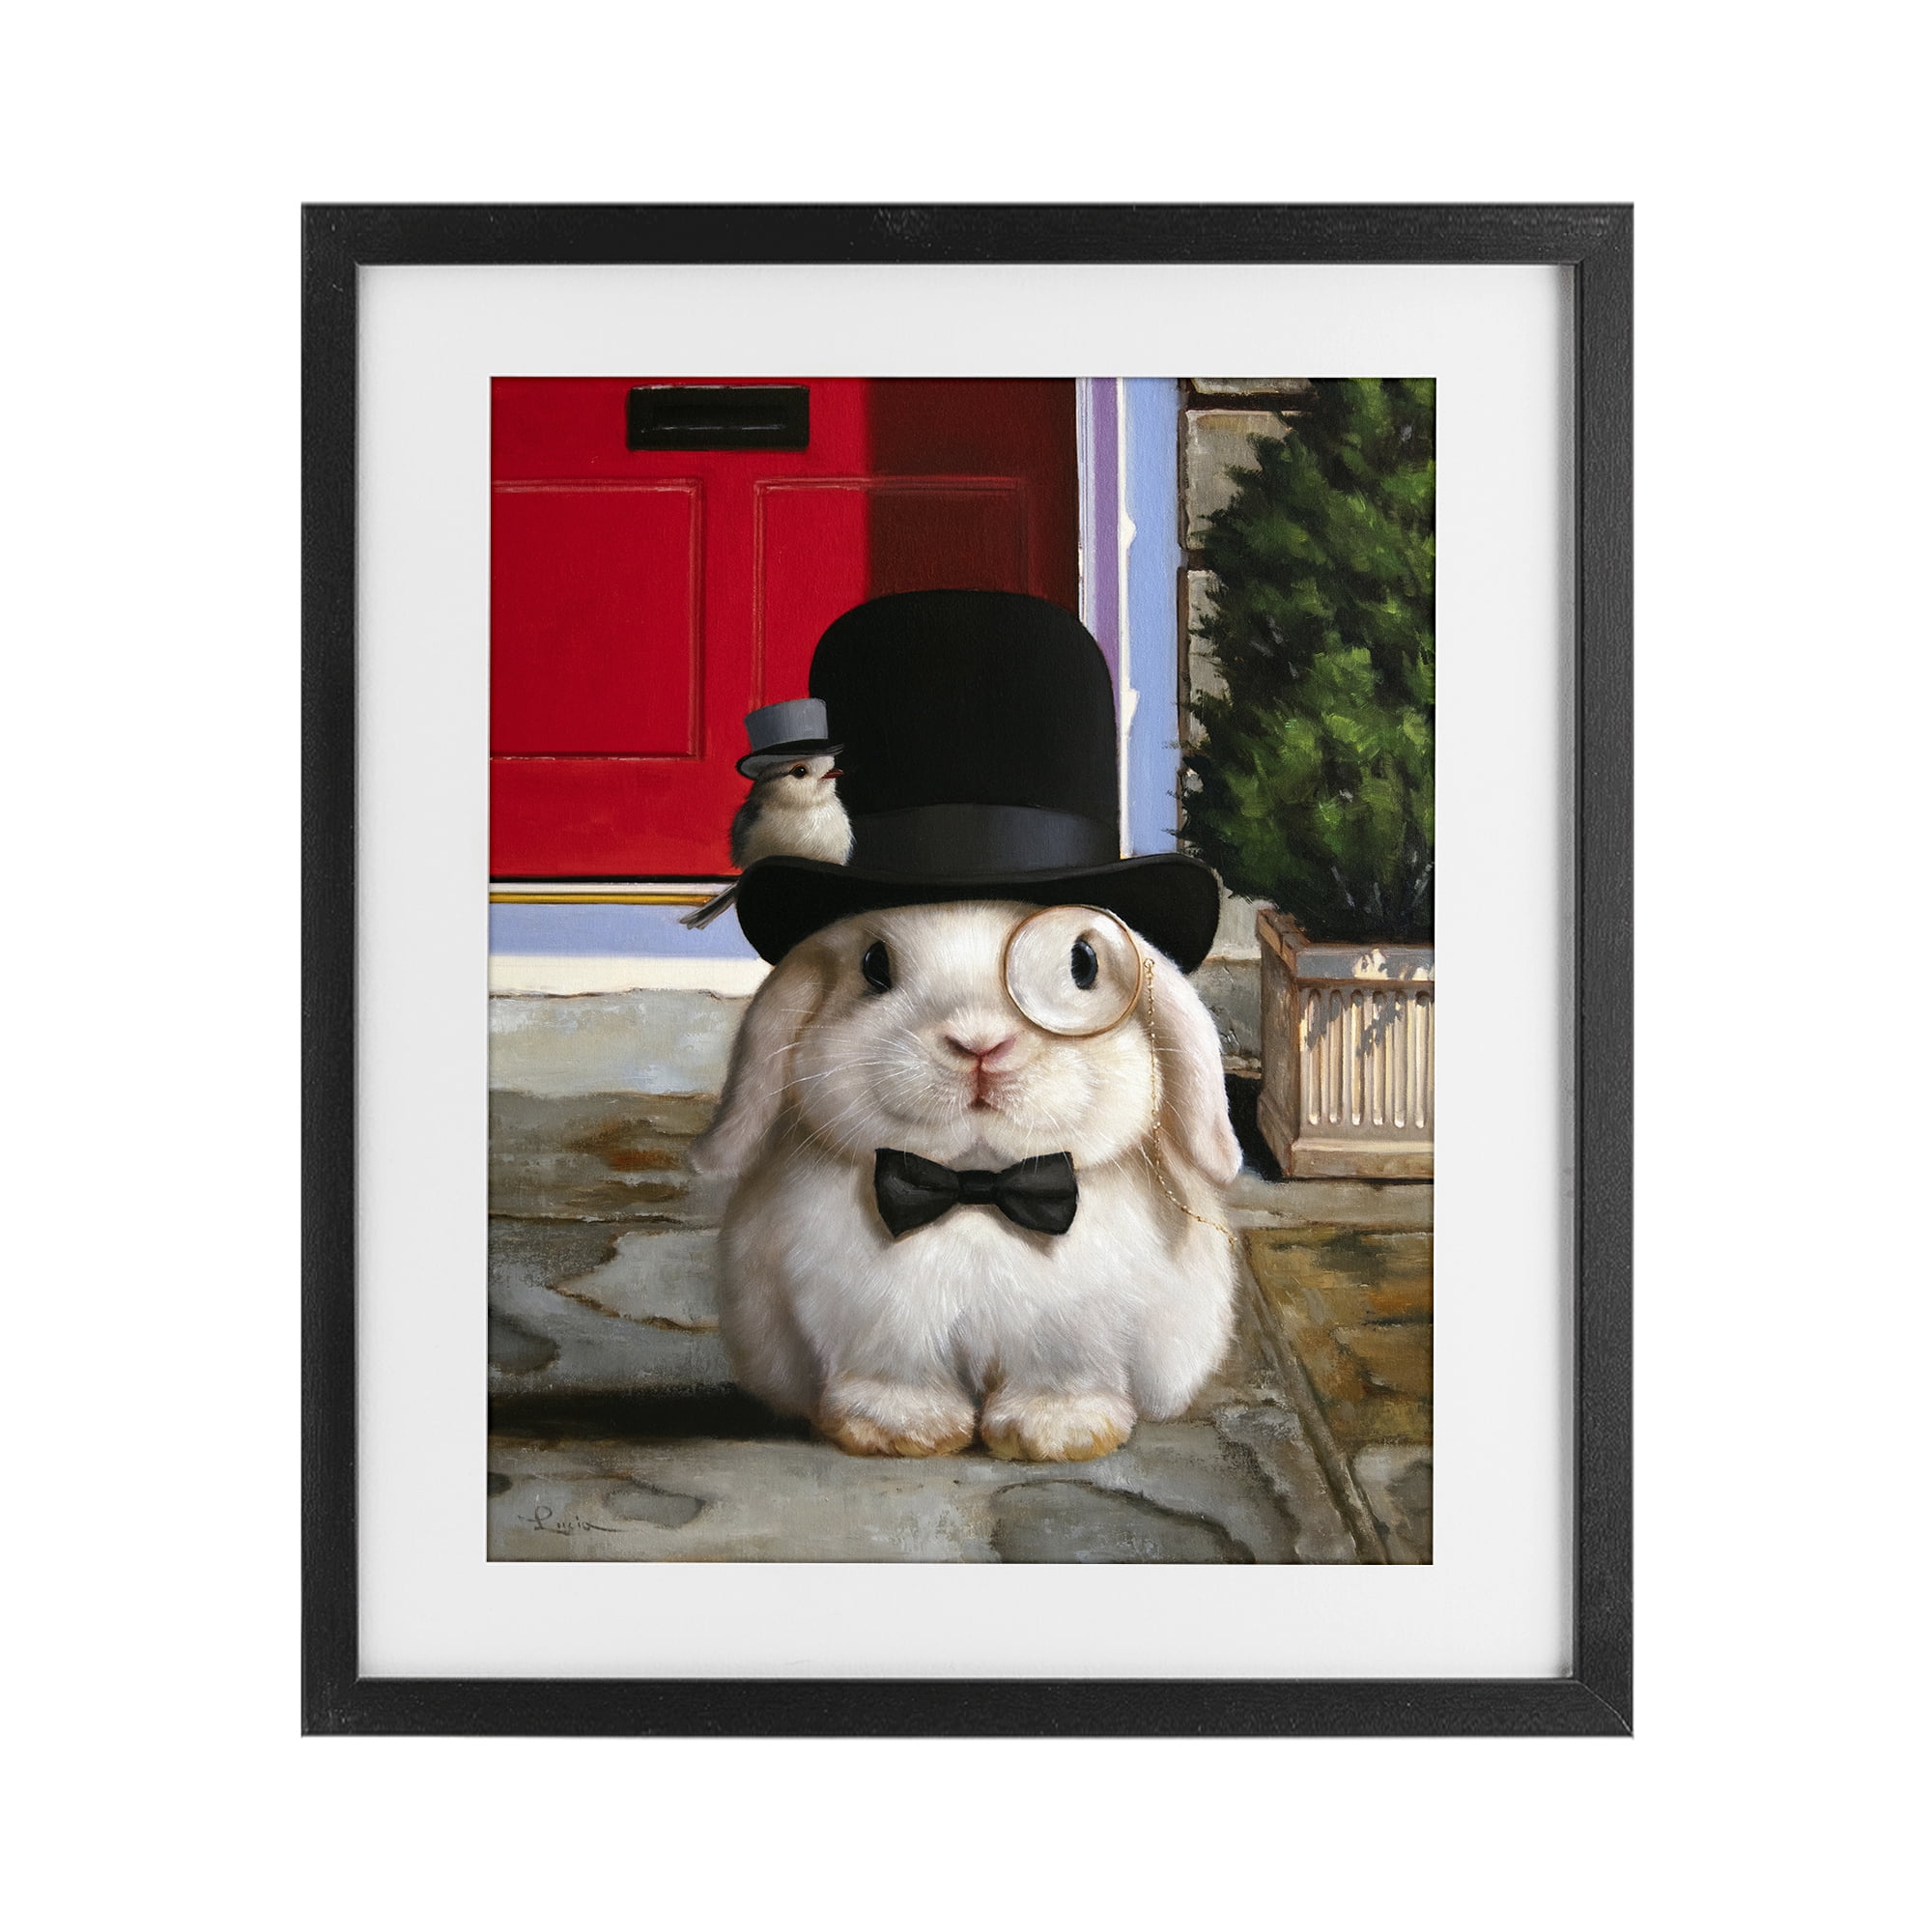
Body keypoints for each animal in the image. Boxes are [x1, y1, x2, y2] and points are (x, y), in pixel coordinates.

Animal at [688, 900, 1244, 1462]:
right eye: (874, 965)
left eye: (1084, 963)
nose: (980, 1042)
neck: (977, 1190)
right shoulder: (879, 1334)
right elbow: (894, 1380)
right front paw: (901, 1431)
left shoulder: (1074, 1342)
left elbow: (1063, 1382)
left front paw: (1056, 1434)